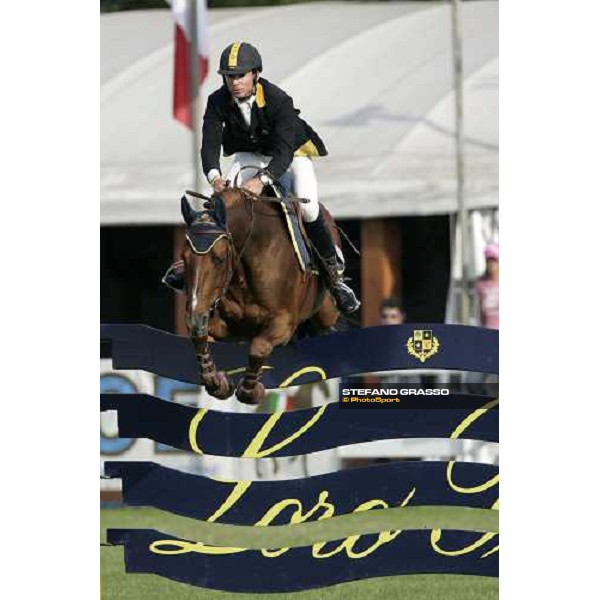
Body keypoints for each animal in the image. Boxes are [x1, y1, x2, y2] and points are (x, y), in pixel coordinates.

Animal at [182, 188, 342, 404]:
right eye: (184, 258)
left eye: (219, 259)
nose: (195, 318)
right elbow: (202, 338)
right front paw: (217, 381)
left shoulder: (283, 323)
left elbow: (259, 346)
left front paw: (250, 390)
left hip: (326, 312)